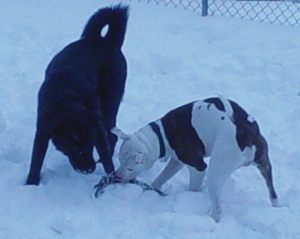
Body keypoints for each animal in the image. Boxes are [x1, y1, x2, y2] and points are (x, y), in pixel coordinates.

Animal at [26, 4, 129, 186]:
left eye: (90, 143)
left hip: (110, 103)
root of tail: (107, 41)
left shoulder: (97, 128)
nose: (89, 169)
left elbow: (106, 156)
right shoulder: (42, 129)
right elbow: (36, 159)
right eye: (73, 144)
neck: (66, 97)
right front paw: (31, 183)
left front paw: (111, 180)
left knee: (112, 136)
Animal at [112, 96, 278, 221]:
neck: (160, 135)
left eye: (130, 168)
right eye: (120, 162)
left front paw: (190, 199)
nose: (117, 176)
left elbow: (193, 189)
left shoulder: (198, 167)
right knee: (273, 194)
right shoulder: (176, 162)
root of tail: (245, 131)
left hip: (215, 172)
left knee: (218, 208)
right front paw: (152, 190)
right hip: (264, 165)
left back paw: (211, 220)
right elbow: (160, 179)